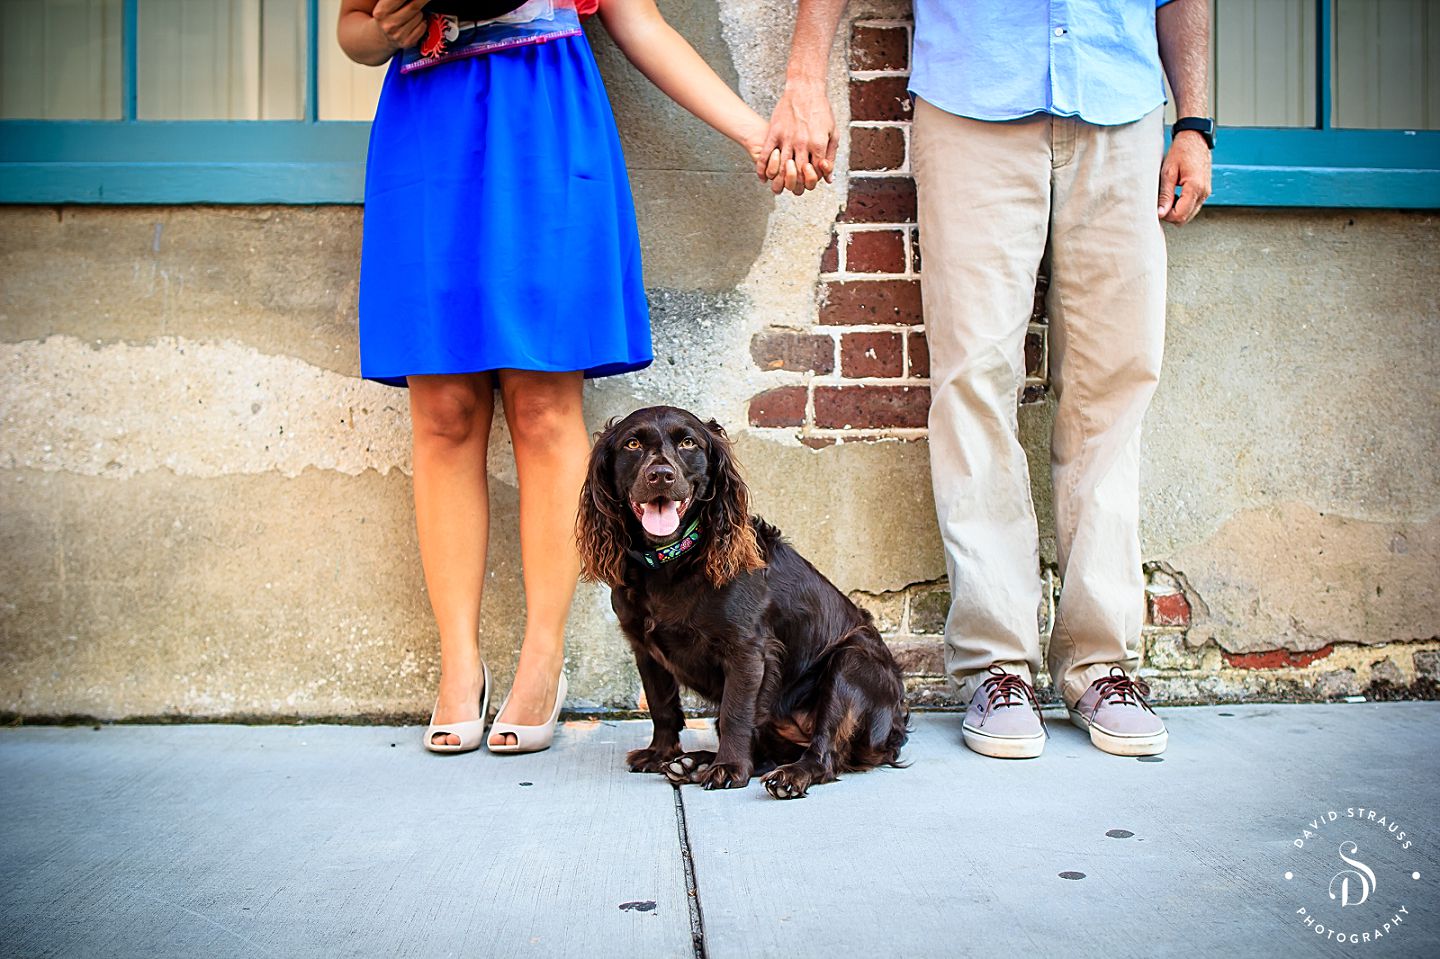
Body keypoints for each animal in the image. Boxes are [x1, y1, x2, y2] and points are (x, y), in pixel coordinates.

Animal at [570, 406, 898, 794]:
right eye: (632, 444)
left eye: (688, 442)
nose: (661, 475)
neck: (671, 563)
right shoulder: (644, 649)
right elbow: (661, 706)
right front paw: (661, 754)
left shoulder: (747, 651)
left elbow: (735, 713)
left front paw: (728, 768)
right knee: (768, 753)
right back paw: (691, 763)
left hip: (853, 662)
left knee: (826, 754)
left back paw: (790, 774)